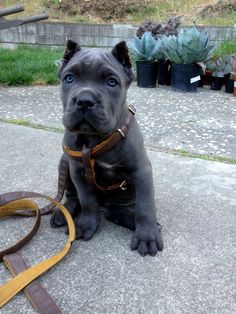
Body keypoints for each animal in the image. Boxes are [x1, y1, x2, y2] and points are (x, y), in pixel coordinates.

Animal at [50, 39, 163, 256]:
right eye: (69, 78)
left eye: (111, 82)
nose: (85, 101)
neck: (94, 140)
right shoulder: (77, 171)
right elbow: (87, 200)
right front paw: (85, 224)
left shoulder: (142, 171)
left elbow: (145, 206)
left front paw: (147, 235)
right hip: (64, 163)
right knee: (73, 197)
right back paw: (63, 214)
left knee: (117, 211)